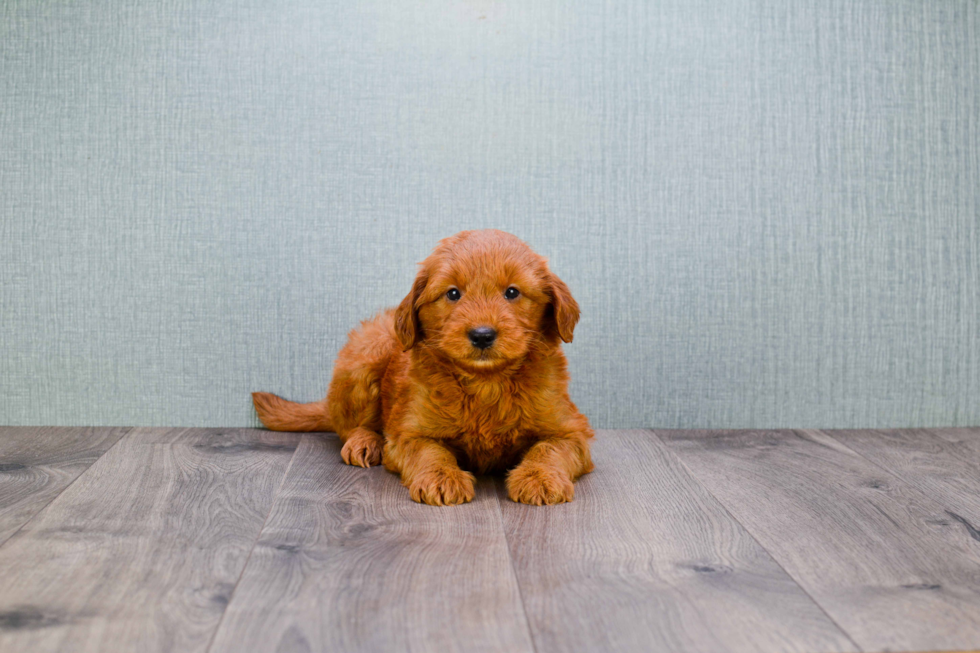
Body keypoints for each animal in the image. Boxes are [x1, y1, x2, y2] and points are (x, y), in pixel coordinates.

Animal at [249, 229, 592, 504]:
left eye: (512, 292)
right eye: (452, 293)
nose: (482, 335)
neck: (485, 381)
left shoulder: (571, 430)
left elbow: (550, 449)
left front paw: (540, 478)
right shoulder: (409, 431)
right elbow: (431, 451)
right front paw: (442, 478)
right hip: (365, 356)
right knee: (348, 426)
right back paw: (365, 442)